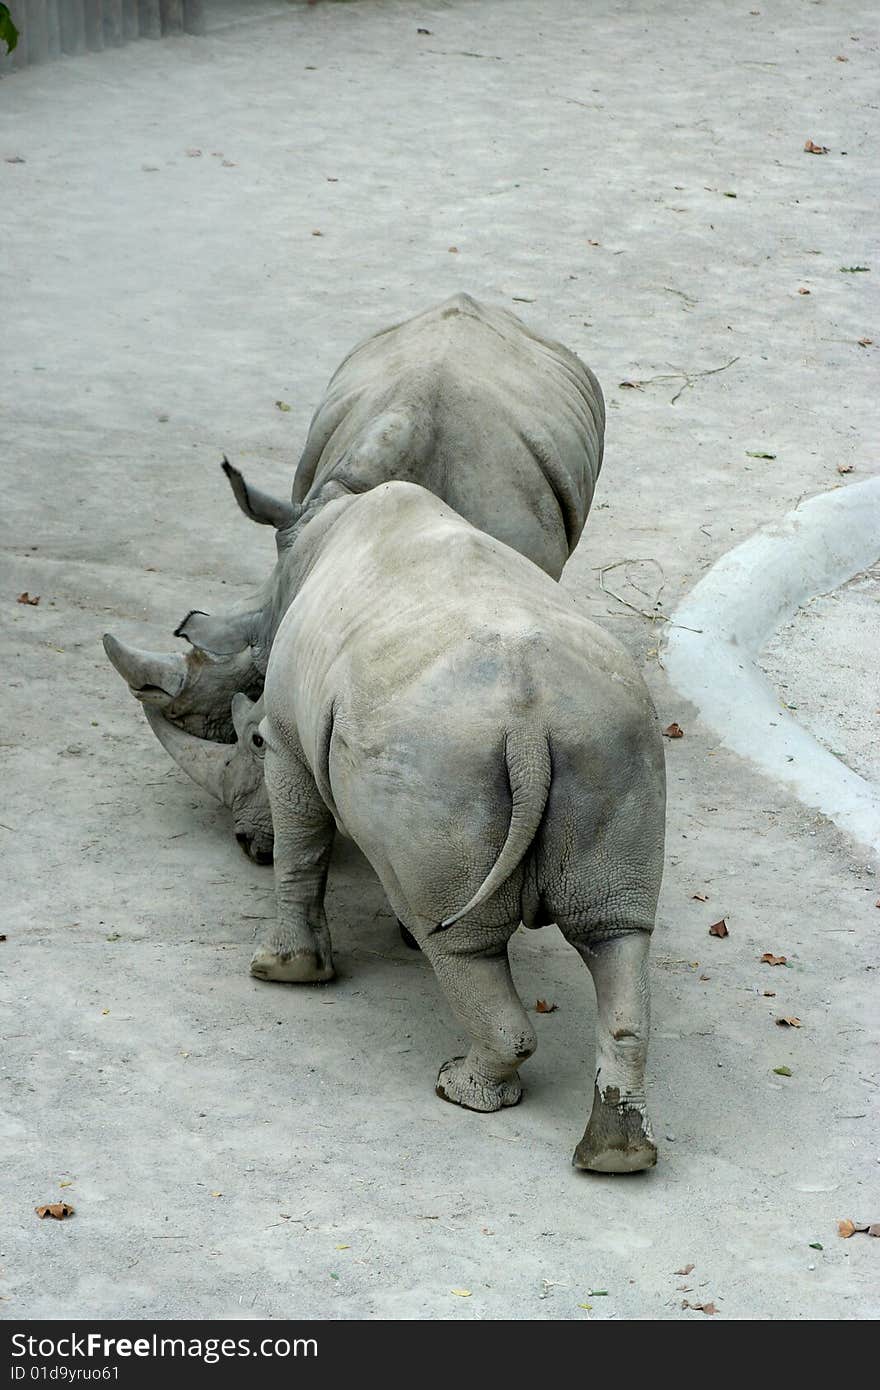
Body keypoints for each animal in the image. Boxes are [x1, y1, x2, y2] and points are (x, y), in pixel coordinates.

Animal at [143, 483, 664, 1167]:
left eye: (247, 739)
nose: (240, 842)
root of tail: (530, 725)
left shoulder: (286, 742)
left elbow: (301, 850)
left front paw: (282, 970)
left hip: (445, 755)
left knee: (462, 942)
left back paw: (457, 1088)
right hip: (610, 739)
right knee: (615, 933)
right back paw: (616, 1157)